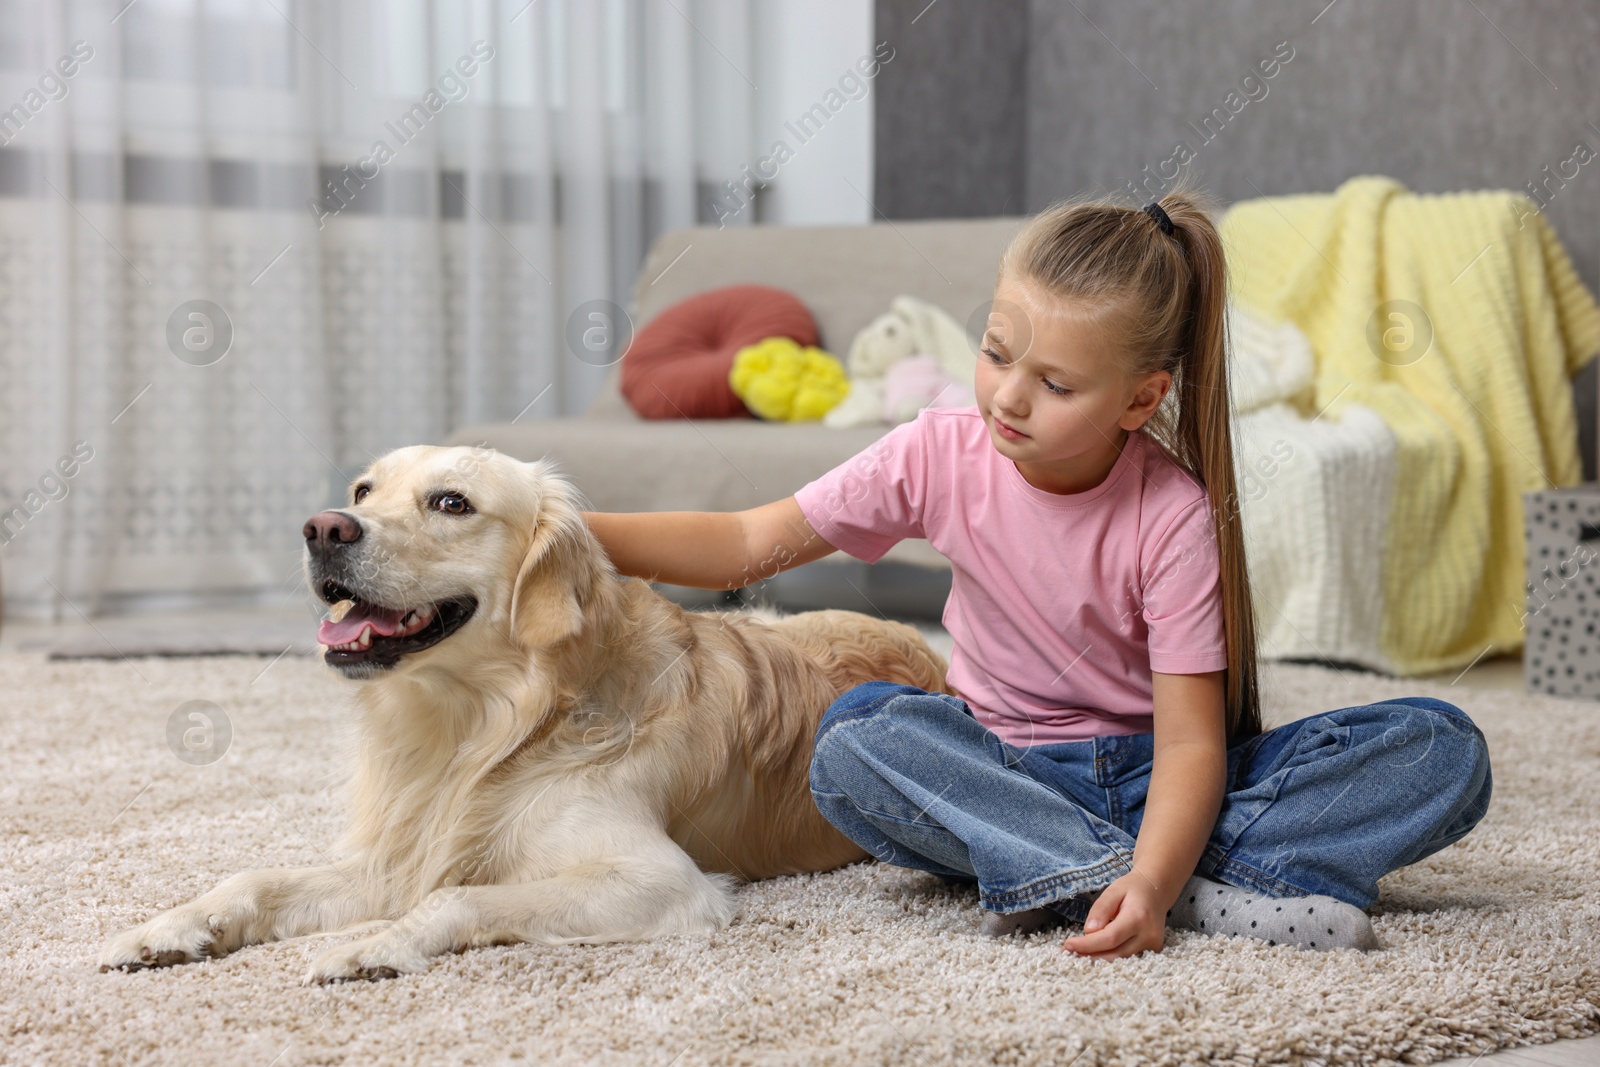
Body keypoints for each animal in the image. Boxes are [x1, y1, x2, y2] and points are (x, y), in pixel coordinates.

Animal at [100, 441, 947, 985]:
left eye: (452, 503)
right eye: (364, 490)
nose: (323, 527)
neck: (488, 723)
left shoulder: (662, 880)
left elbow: (455, 895)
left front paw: (374, 945)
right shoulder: (400, 852)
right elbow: (254, 876)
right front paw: (169, 927)